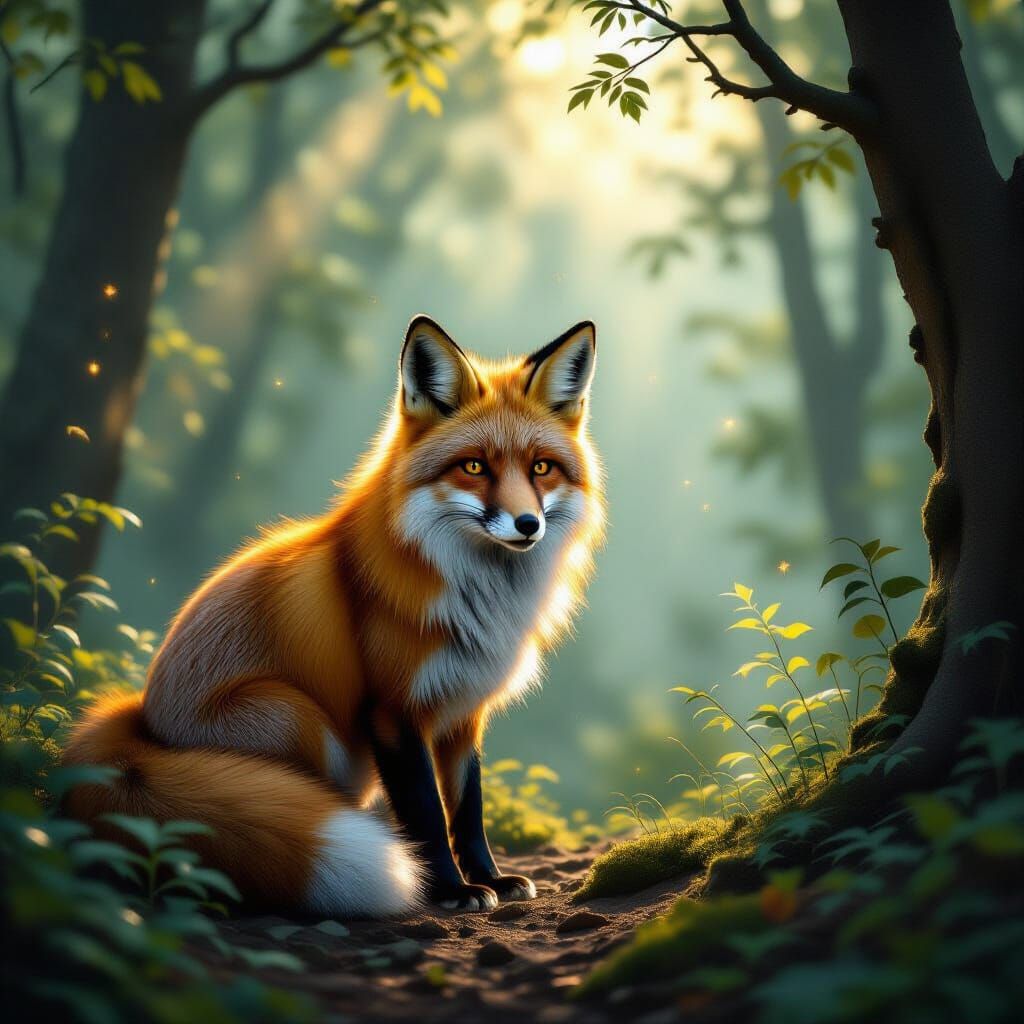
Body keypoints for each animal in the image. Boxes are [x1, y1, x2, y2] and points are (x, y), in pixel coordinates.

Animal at [64, 315, 604, 918]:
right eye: (473, 467)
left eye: (541, 468)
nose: (528, 524)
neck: (477, 598)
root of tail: (141, 720)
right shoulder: (393, 709)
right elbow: (425, 813)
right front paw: (448, 889)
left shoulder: (464, 711)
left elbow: (468, 808)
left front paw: (491, 878)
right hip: (298, 717)